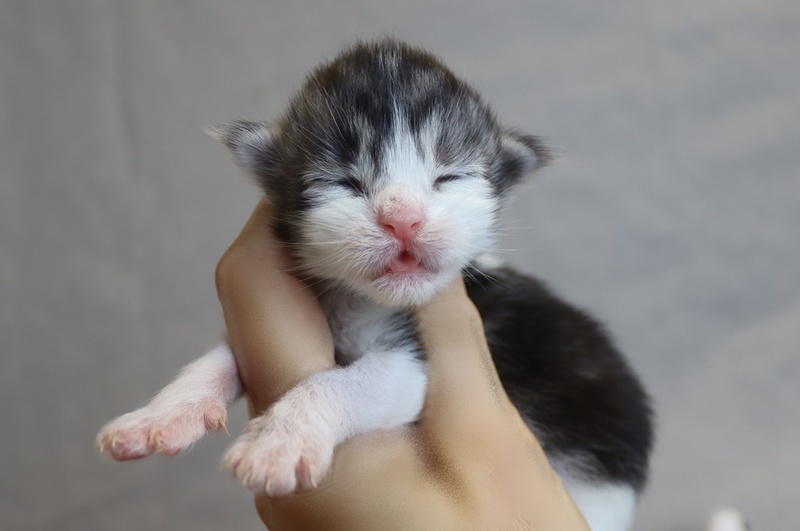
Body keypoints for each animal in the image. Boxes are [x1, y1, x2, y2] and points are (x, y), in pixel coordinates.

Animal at [97, 40, 654, 531]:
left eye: (448, 178)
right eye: (343, 182)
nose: (402, 219)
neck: (359, 301)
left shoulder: (415, 363)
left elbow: (343, 382)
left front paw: (279, 441)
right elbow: (221, 356)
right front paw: (163, 414)